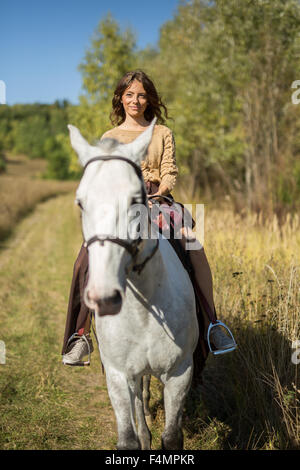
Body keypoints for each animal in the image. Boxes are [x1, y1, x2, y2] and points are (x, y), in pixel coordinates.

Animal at [68, 119, 199, 450]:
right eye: (81, 203)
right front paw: (141, 435)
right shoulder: (117, 375)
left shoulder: (180, 373)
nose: (104, 297)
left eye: (135, 201)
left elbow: (172, 437)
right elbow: (129, 437)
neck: (144, 308)